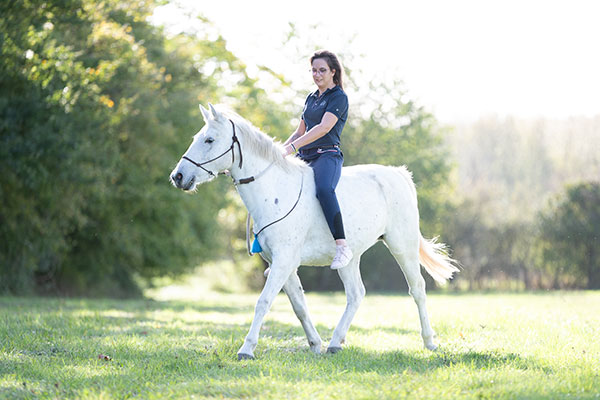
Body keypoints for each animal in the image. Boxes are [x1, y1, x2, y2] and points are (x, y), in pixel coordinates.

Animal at [170, 103, 460, 360]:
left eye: (209, 140)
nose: (178, 176)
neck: (274, 190)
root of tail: (398, 174)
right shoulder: (281, 264)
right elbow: (299, 305)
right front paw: (315, 344)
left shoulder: (284, 261)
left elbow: (263, 301)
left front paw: (246, 349)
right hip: (349, 258)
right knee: (356, 294)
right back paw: (335, 343)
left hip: (402, 246)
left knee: (418, 288)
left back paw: (429, 342)